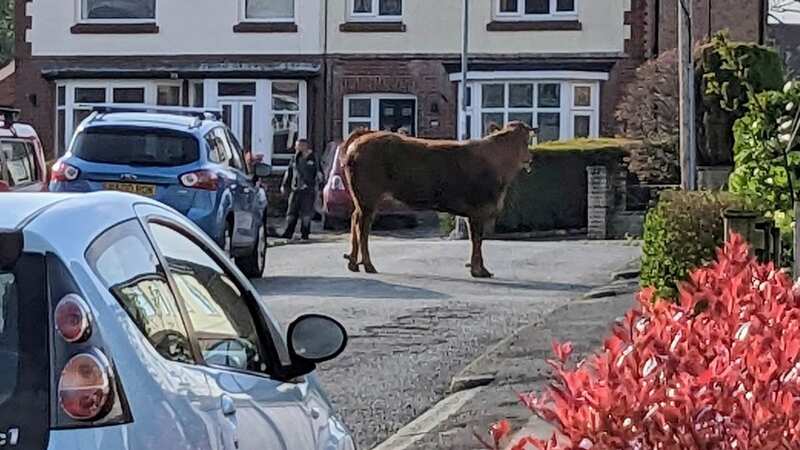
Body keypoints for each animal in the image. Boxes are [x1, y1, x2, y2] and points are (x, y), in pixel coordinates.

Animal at [340, 121, 536, 280]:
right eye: (526, 141)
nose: (530, 158)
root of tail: (363, 136)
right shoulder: (477, 211)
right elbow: (477, 240)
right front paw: (478, 270)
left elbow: (476, 240)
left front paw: (479, 269)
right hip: (368, 199)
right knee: (362, 228)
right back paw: (368, 265)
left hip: (361, 200)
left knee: (354, 219)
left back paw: (353, 263)